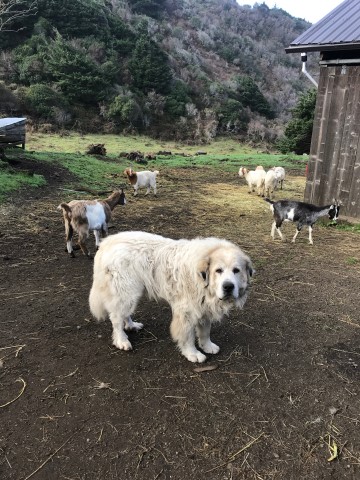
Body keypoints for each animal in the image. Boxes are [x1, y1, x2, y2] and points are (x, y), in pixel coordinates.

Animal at [89, 231, 253, 362]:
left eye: (236, 270)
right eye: (218, 270)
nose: (228, 286)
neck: (200, 278)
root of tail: (107, 241)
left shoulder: (203, 307)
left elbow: (205, 331)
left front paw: (207, 346)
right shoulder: (186, 312)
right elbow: (188, 336)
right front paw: (193, 354)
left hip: (132, 293)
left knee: (124, 314)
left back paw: (131, 325)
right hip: (126, 292)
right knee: (116, 318)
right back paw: (121, 340)